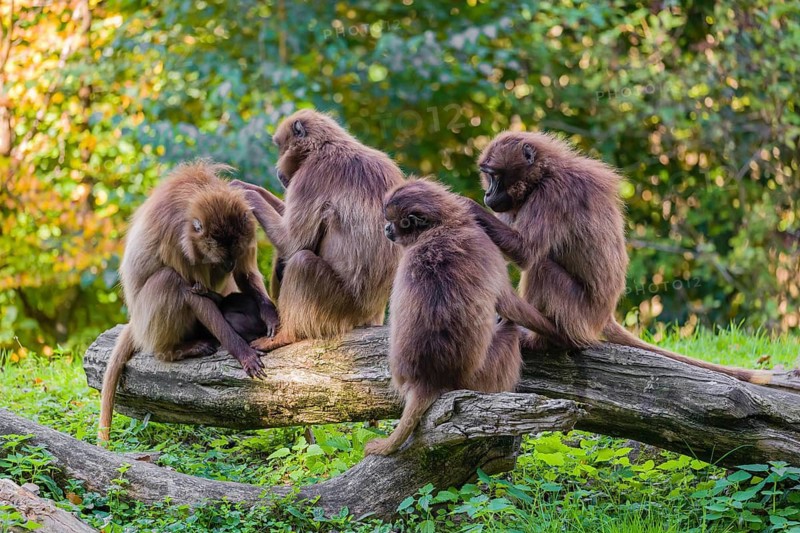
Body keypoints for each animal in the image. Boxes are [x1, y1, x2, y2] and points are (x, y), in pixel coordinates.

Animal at [98, 161, 280, 442]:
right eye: (220, 256)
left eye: (233, 254)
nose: (228, 264)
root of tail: (136, 323)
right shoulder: (176, 236)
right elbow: (194, 295)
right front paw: (242, 352)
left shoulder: (246, 224)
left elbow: (244, 275)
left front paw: (269, 314)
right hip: (147, 319)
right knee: (169, 279)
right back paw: (172, 351)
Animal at [230, 109, 403, 352]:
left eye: (280, 146)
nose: (276, 168)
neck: (326, 146)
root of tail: (371, 313)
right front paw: (253, 189)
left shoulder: (310, 175)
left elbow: (292, 243)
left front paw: (246, 192)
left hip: (340, 309)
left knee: (301, 261)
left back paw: (285, 336)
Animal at [364, 178, 566, 456]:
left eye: (393, 222)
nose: (386, 228)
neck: (442, 227)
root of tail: (426, 381)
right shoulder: (483, 242)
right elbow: (506, 303)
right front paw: (557, 332)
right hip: (481, 376)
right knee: (509, 328)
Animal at [467, 131, 800, 390]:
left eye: (494, 176)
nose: (487, 195)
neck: (544, 173)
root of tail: (605, 316)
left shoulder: (553, 195)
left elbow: (524, 252)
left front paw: (465, 206)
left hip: (579, 314)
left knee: (542, 268)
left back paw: (546, 340)